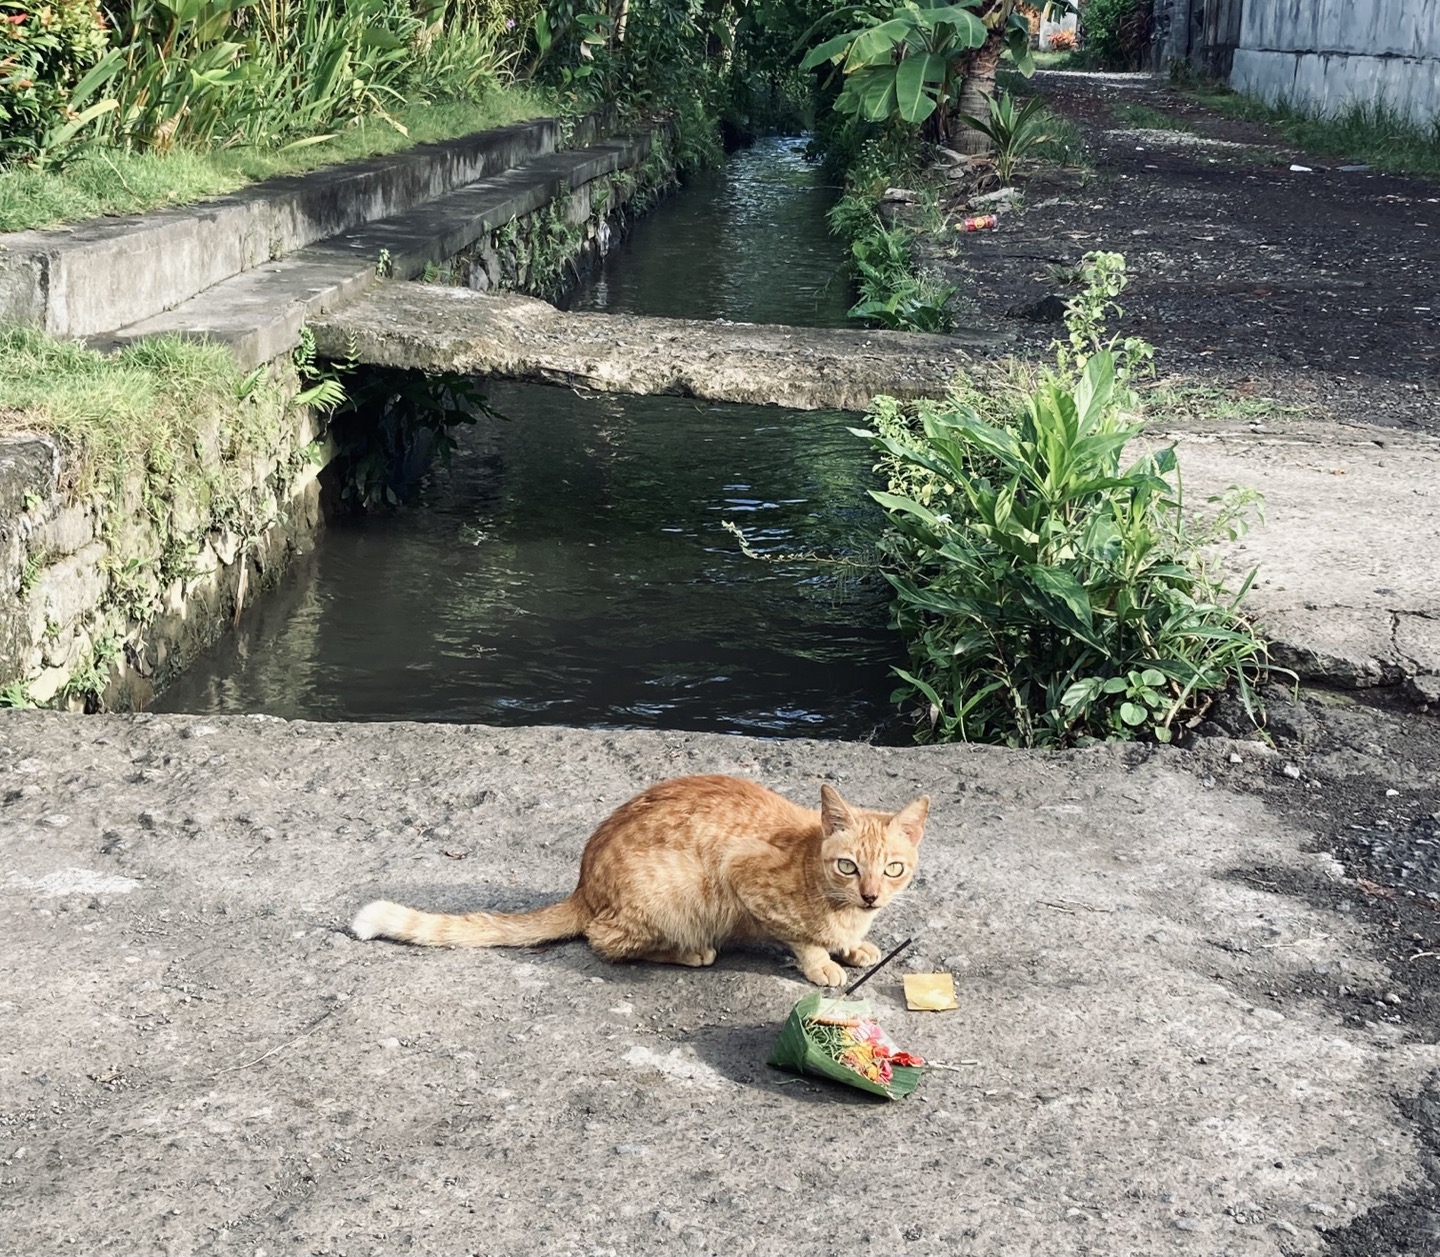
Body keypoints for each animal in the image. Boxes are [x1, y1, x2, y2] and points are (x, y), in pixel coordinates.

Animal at [354, 771, 927, 984]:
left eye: (892, 869)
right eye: (848, 866)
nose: (871, 896)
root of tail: (583, 886)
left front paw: (853, 947)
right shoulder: (743, 873)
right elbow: (802, 937)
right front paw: (823, 961)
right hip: (669, 900)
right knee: (604, 940)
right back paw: (689, 953)